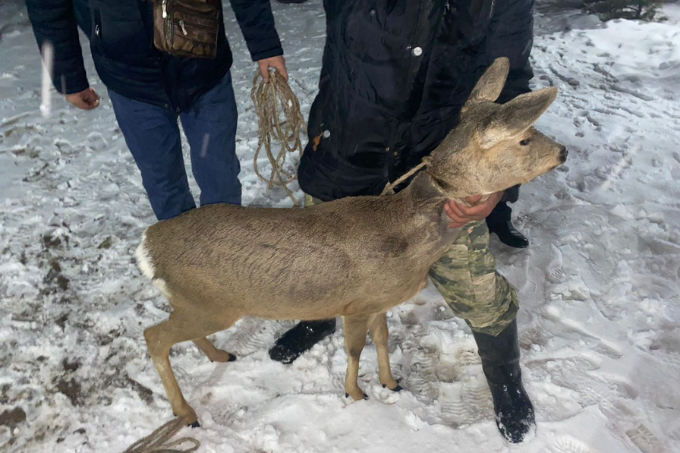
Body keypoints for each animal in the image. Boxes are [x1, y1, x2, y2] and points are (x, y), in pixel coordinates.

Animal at [135, 58, 567, 427]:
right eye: (525, 139)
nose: (563, 151)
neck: (406, 237)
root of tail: (147, 245)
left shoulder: (377, 301)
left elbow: (383, 338)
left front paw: (391, 382)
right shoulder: (357, 303)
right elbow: (355, 348)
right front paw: (355, 393)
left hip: (196, 303)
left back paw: (220, 356)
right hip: (213, 304)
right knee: (154, 337)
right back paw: (186, 412)